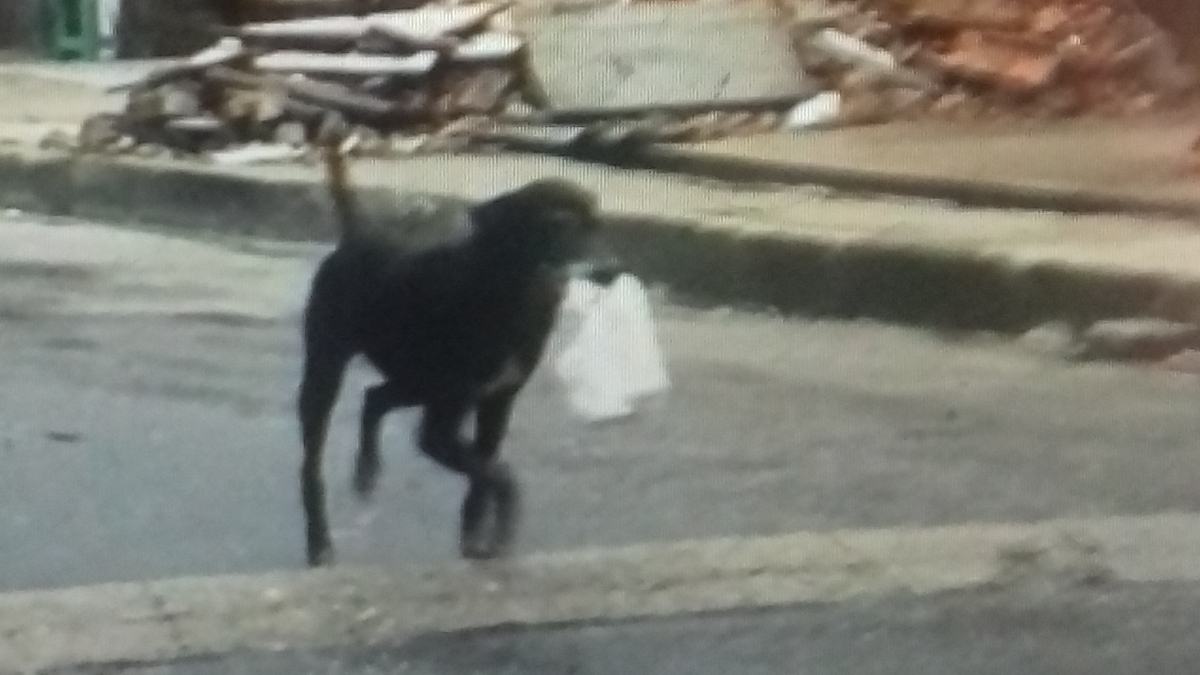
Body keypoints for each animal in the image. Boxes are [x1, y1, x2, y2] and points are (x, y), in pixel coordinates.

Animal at [297, 139, 619, 564]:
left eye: (601, 225)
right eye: (559, 225)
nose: (613, 270)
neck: (513, 296)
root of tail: (357, 233)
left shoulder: (497, 405)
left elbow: (484, 475)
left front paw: (474, 540)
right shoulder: (438, 432)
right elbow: (500, 474)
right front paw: (501, 532)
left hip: (417, 382)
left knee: (375, 397)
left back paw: (367, 470)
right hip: (328, 371)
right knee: (312, 458)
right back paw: (320, 542)